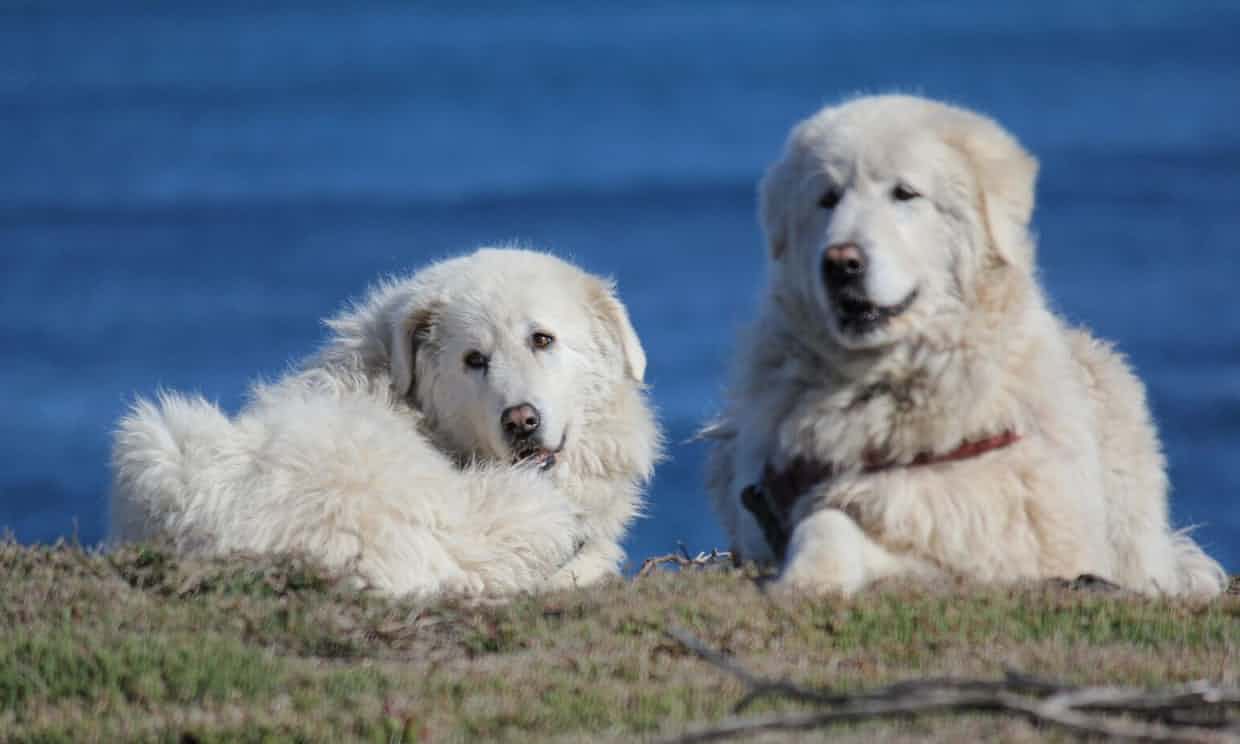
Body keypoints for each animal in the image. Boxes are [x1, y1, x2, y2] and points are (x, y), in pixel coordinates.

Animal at [704, 96, 1225, 597]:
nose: (840, 262)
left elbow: (850, 524)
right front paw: (810, 574)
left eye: (905, 193)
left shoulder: (1004, 540)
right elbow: (826, 523)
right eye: (827, 199)